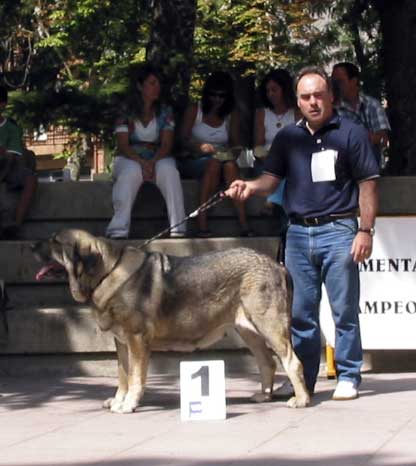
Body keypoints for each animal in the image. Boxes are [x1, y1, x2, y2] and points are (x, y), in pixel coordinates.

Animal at [31, 229, 308, 412]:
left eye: (55, 242)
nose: (32, 246)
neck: (107, 272)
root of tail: (278, 265)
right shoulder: (121, 342)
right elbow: (122, 375)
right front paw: (119, 399)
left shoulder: (136, 340)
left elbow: (135, 377)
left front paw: (129, 404)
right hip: (248, 330)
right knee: (268, 362)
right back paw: (264, 397)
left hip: (270, 326)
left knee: (292, 361)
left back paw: (302, 400)